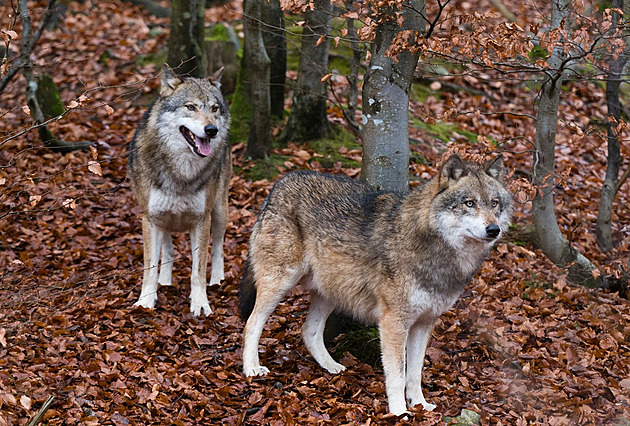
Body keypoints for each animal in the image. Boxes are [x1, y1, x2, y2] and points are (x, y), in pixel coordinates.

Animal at [128, 64, 232, 316]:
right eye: (191, 107)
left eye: (214, 108)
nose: (212, 130)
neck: (181, 172)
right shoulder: (150, 218)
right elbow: (150, 266)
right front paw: (146, 301)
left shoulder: (202, 220)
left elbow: (198, 270)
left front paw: (200, 303)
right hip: (164, 219)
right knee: (168, 252)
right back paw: (165, 281)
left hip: (220, 211)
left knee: (218, 248)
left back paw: (218, 280)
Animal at [241, 154, 512, 416]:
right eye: (470, 203)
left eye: (494, 203)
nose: (493, 229)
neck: (437, 249)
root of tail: (281, 182)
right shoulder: (394, 322)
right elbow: (398, 376)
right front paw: (400, 412)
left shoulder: (424, 322)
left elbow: (415, 374)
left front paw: (420, 405)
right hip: (281, 282)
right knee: (252, 323)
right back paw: (252, 368)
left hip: (331, 291)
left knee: (309, 330)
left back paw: (332, 367)